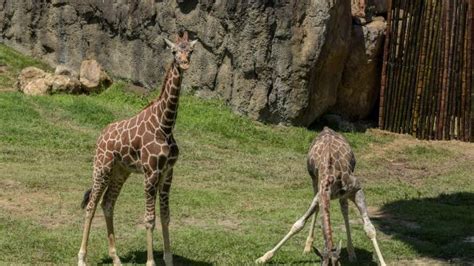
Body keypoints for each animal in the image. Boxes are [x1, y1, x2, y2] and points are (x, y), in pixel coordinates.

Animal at [78, 31, 196, 266]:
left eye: (191, 51)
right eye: (174, 51)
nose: (184, 63)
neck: (165, 125)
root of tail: (101, 135)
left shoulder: (168, 172)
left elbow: (166, 216)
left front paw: (168, 259)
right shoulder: (151, 173)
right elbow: (149, 219)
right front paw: (151, 262)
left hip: (120, 171)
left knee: (108, 204)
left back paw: (116, 258)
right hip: (102, 167)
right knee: (91, 206)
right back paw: (81, 258)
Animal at [256, 127, 386, 266]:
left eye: (337, 263)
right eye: (322, 264)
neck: (332, 178)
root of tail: (326, 128)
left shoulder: (356, 189)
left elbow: (370, 229)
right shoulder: (320, 194)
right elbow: (298, 224)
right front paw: (264, 257)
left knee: (344, 209)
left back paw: (351, 253)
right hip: (313, 179)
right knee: (322, 207)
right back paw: (308, 246)